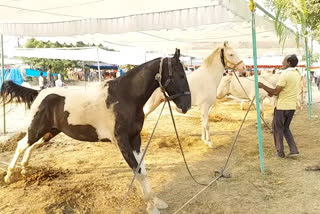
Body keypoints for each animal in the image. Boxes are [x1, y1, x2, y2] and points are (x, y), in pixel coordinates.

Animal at [0, 49, 190, 213]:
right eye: (181, 75)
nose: (186, 106)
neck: (124, 97)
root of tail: (39, 94)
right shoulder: (122, 141)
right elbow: (138, 171)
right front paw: (151, 207)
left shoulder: (135, 140)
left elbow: (142, 169)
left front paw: (155, 201)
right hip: (37, 129)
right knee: (21, 144)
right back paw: (9, 175)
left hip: (50, 132)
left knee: (31, 146)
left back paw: (24, 169)